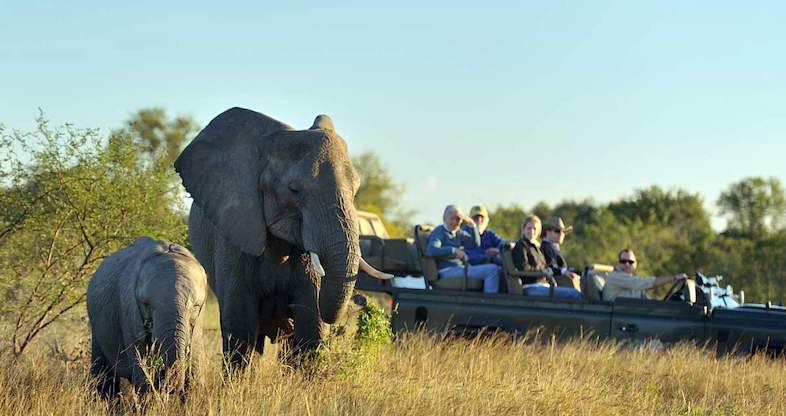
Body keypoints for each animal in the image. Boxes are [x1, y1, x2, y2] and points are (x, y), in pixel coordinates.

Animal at [86, 237, 208, 396]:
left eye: (195, 306)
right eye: (145, 304)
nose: (171, 388)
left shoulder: (198, 325)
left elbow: (194, 375)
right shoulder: (129, 309)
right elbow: (140, 365)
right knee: (103, 380)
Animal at [174, 107, 390, 367]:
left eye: (355, 192)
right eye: (294, 190)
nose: (361, 301)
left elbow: (311, 324)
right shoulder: (234, 234)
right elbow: (240, 326)